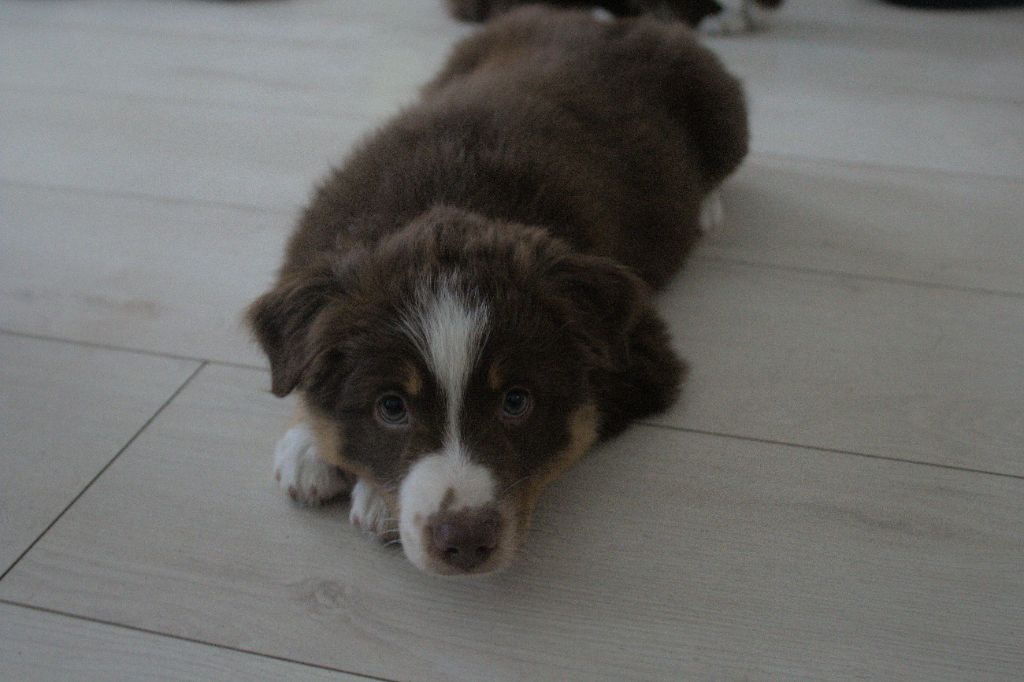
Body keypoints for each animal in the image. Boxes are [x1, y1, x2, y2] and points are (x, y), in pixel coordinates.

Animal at [247, 8, 748, 576]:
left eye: (516, 401)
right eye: (391, 406)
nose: (464, 541)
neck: (450, 199)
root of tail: (591, 18)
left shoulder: (641, 352)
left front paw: (373, 498)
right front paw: (309, 447)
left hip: (719, 101)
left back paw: (706, 206)